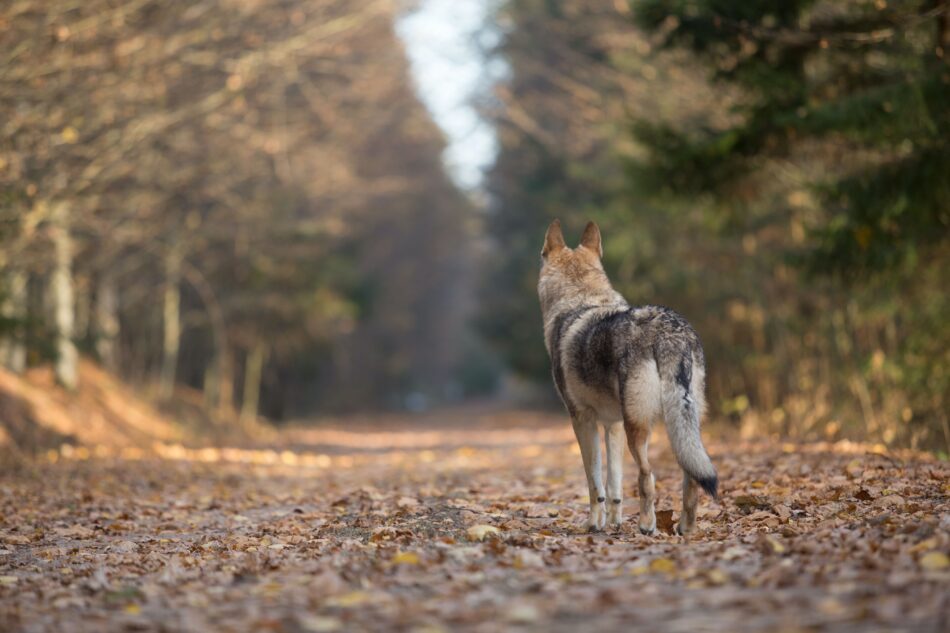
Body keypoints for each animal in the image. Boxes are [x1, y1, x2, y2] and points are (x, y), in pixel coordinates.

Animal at [540, 218, 716, 532]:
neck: (579, 300)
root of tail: (670, 332)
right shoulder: (613, 424)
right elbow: (614, 484)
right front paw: (614, 521)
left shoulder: (582, 419)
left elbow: (594, 482)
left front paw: (595, 524)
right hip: (684, 425)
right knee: (692, 475)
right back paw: (685, 528)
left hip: (640, 426)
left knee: (648, 476)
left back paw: (647, 525)